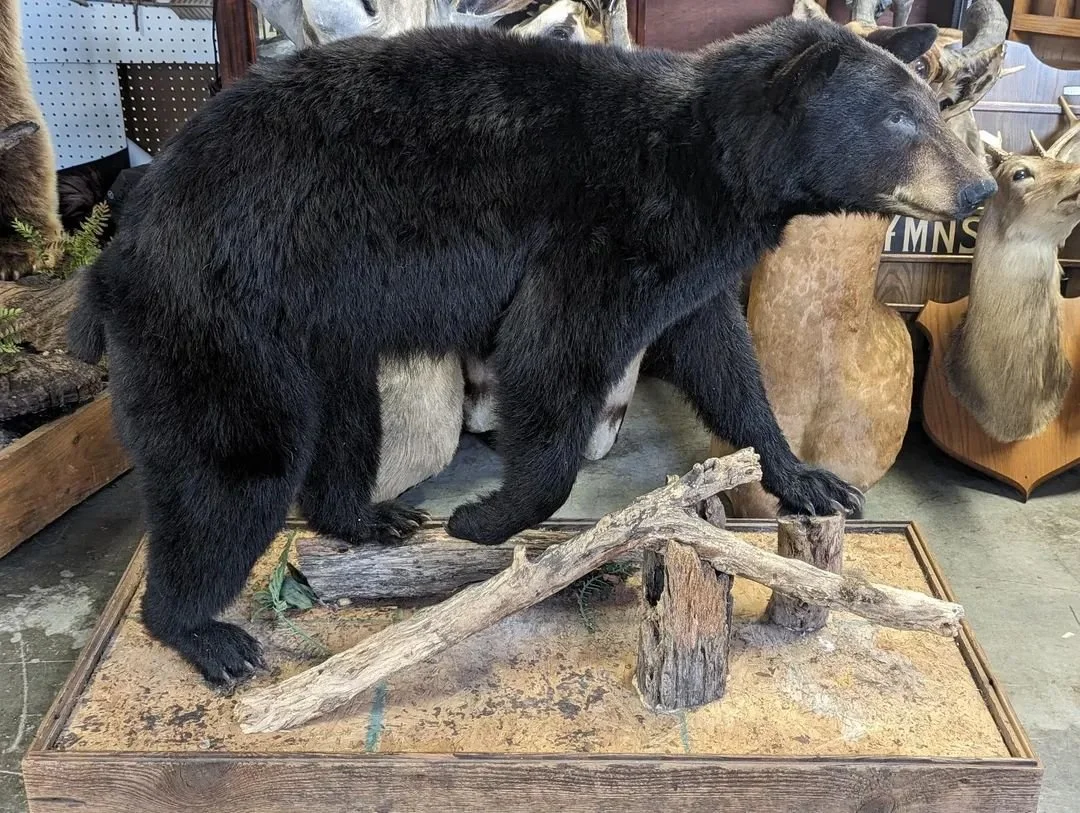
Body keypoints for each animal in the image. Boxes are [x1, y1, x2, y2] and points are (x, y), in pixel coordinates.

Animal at [69, 16, 994, 687]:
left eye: (931, 106)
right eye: (900, 117)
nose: (980, 186)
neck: (713, 166)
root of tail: (119, 246)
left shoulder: (697, 259)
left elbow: (724, 360)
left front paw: (805, 476)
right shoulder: (609, 227)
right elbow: (552, 351)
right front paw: (489, 516)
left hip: (318, 324)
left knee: (346, 416)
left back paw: (369, 515)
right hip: (225, 311)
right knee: (233, 465)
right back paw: (202, 631)